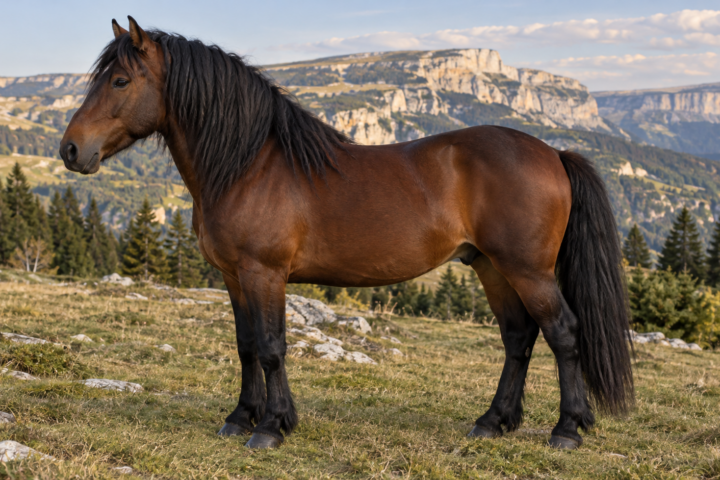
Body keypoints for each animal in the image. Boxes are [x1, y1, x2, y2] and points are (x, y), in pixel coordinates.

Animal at [59, 17, 634, 450]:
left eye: (120, 82)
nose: (70, 149)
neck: (250, 165)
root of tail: (552, 152)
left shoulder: (264, 273)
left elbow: (271, 346)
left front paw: (271, 427)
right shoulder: (233, 276)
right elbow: (245, 345)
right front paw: (240, 417)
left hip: (528, 270)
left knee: (563, 333)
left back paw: (567, 430)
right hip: (491, 267)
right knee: (518, 338)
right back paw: (492, 422)